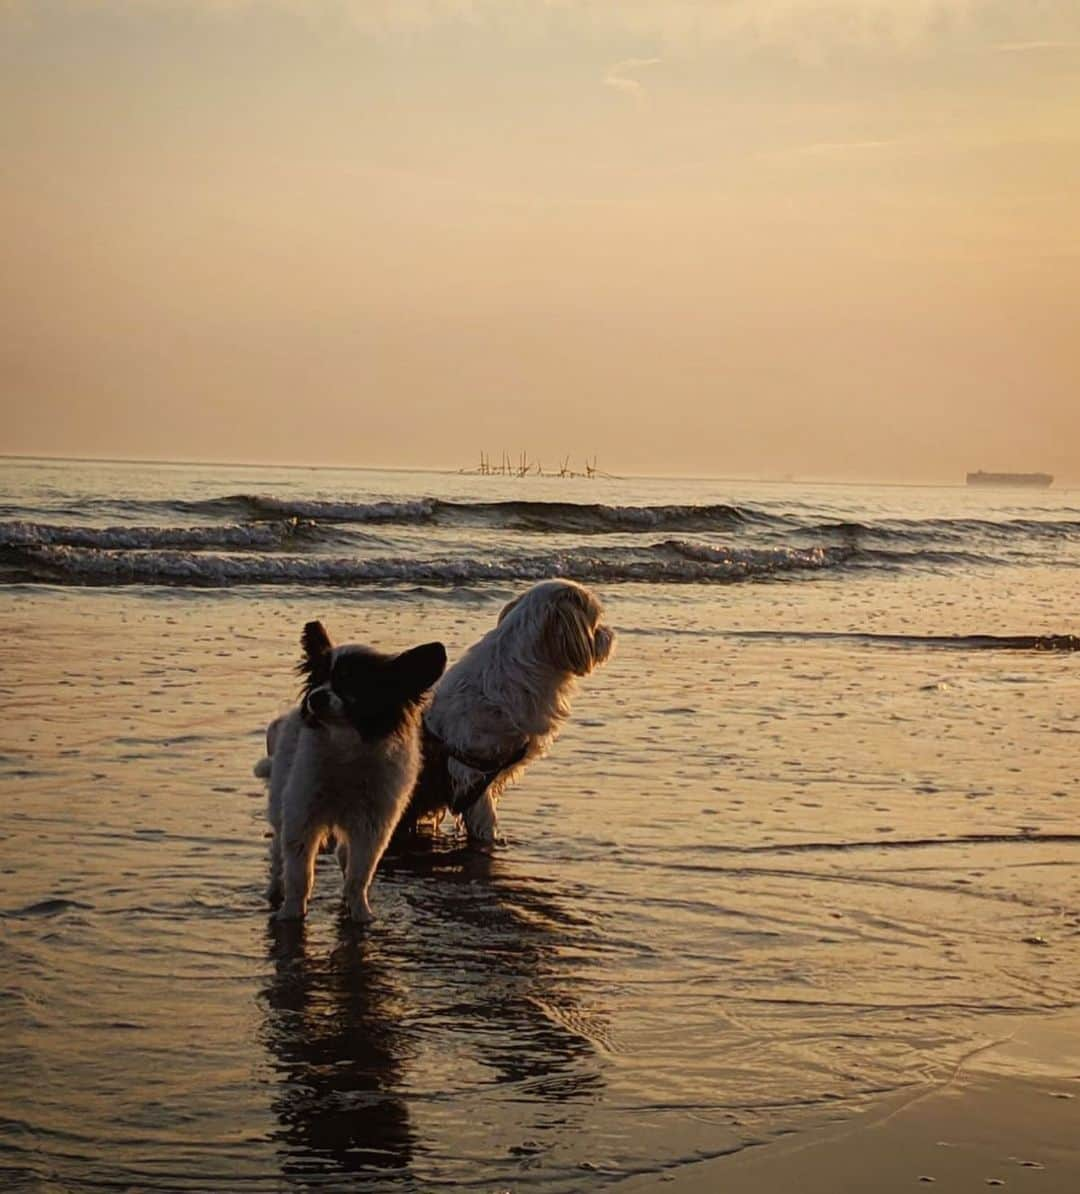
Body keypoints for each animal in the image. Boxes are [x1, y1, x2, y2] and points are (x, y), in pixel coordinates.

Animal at [258, 625, 443, 921]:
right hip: (281, 805)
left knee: (344, 855)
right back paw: (275, 891)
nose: (315, 697)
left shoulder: (371, 827)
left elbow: (359, 875)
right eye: (319, 679)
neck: (347, 747)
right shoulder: (302, 816)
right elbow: (299, 874)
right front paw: (292, 912)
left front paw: (360, 912)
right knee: (277, 853)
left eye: (352, 682)